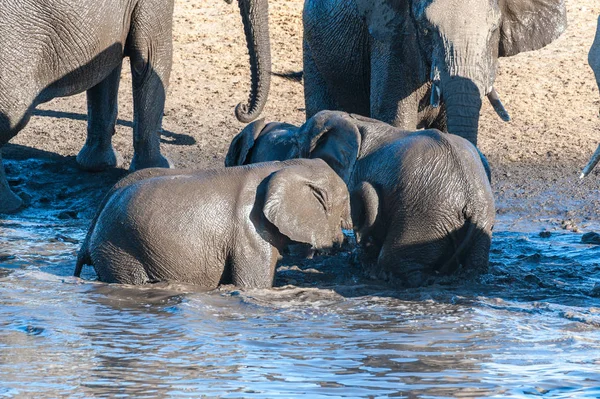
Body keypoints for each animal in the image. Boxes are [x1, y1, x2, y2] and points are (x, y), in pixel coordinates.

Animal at [74, 160, 352, 290]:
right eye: (346, 204)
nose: (346, 242)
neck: (284, 165)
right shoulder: (250, 235)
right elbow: (253, 285)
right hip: (120, 250)